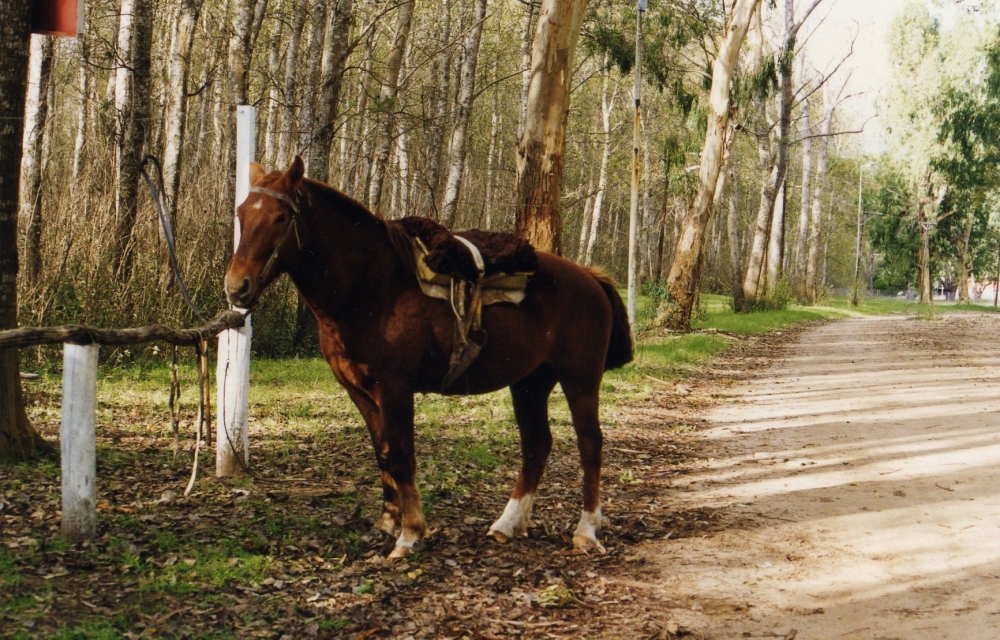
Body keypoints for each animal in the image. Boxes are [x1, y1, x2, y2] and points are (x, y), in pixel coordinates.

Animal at [227, 158, 632, 556]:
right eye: (241, 212)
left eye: (281, 217)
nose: (236, 287)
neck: (372, 288)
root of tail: (590, 277)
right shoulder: (359, 391)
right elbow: (383, 452)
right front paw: (388, 522)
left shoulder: (394, 387)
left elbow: (402, 456)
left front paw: (409, 534)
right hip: (530, 383)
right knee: (537, 444)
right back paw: (506, 524)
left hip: (580, 379)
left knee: (590, 443)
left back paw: (586, 530)